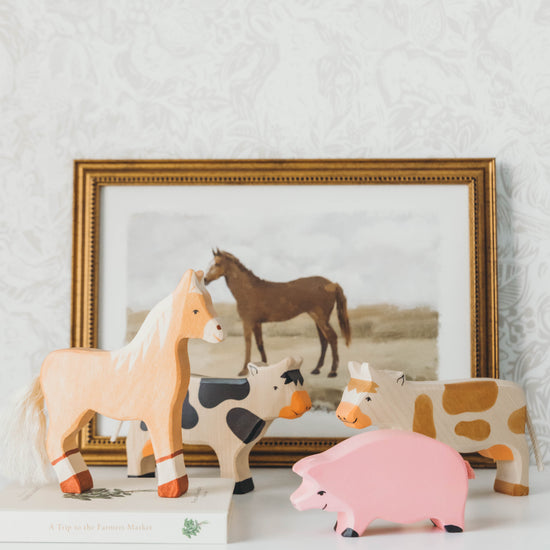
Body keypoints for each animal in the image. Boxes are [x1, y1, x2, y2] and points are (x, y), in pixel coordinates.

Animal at [292, 432, 476, 540]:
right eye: (304, 482)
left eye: (321, 492)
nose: (293, 500)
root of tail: (462, 461)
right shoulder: (348, 510)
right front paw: (336, 529)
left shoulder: (360, 510)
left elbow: (354, 525)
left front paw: (347, 535)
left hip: (453, 506)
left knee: (453, 522)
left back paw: (454, 530)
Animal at [336, 364, 544, 498]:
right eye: (347, 390)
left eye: (368, 398)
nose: (343, 414)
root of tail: (522, 394)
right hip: (497, 444)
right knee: (506, 460)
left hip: (513, 436)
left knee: (520, 456)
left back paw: (517, 491)